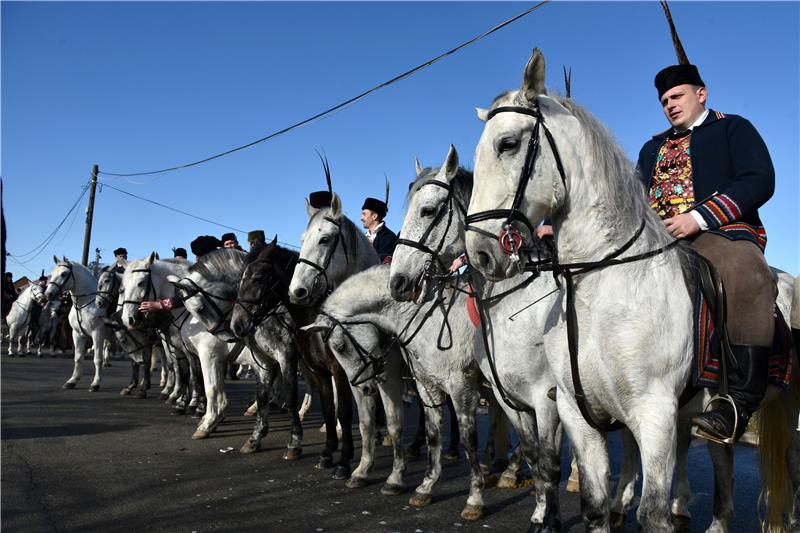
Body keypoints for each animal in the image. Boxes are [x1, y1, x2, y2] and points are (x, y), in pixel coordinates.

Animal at [45, 258, 108, 390]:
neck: (86, 304)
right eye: (52, 274)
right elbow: (78, 357)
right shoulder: (77, 334)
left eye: (63, 274)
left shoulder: (97, 333)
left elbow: (97, 359)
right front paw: (73, 380)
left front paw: (96, 383)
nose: (48, 294)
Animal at [466, 47, 796, 528]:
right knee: (724, 461)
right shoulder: (579, 417)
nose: (479, 253)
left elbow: (653, 512)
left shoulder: (654, 416)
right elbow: (595, 507)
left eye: (507, 144)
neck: (603, 287)